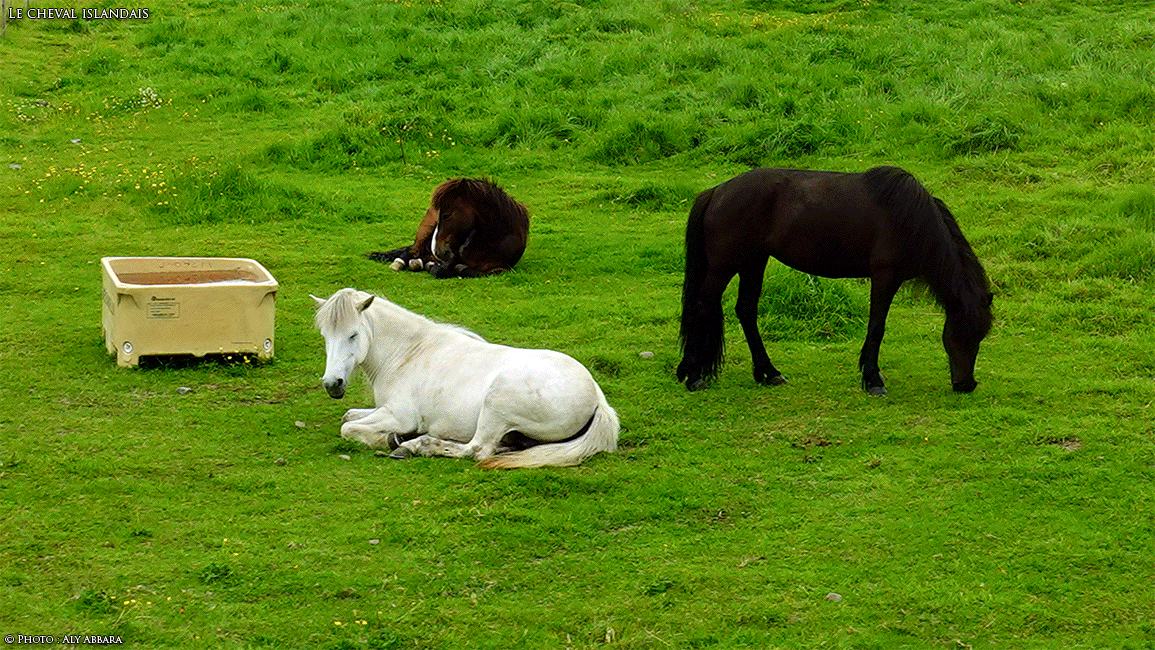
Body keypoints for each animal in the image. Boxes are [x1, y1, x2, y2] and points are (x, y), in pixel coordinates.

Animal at [310, 288, 619, 468]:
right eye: (325, 335)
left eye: (353, 334)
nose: (332, 384)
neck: (407, 354)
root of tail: (596, 396)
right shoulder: (381, 410)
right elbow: (349, 416)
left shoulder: (399, 416)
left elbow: (348, 428)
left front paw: (390, 439)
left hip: (496, 406)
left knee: (477, 450)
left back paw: (416, 446)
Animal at [367, 177, 530, 279]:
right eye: (440, 215)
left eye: (446, 215)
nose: (439, 251)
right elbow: (441, 270)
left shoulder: (501, 269)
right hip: (424, 231)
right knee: (411, 250)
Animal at [677, 166, 993, 396]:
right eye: (960, 332)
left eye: (980, 335)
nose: (966, 385)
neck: (910, 219)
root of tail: (716, 192)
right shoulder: (884, 277)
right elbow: (877, 326)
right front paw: (872, 379)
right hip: (723, 268)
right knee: (703, 306)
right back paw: (693, 376)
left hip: (754, 262)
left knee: (746, 310)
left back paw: (768, 373)